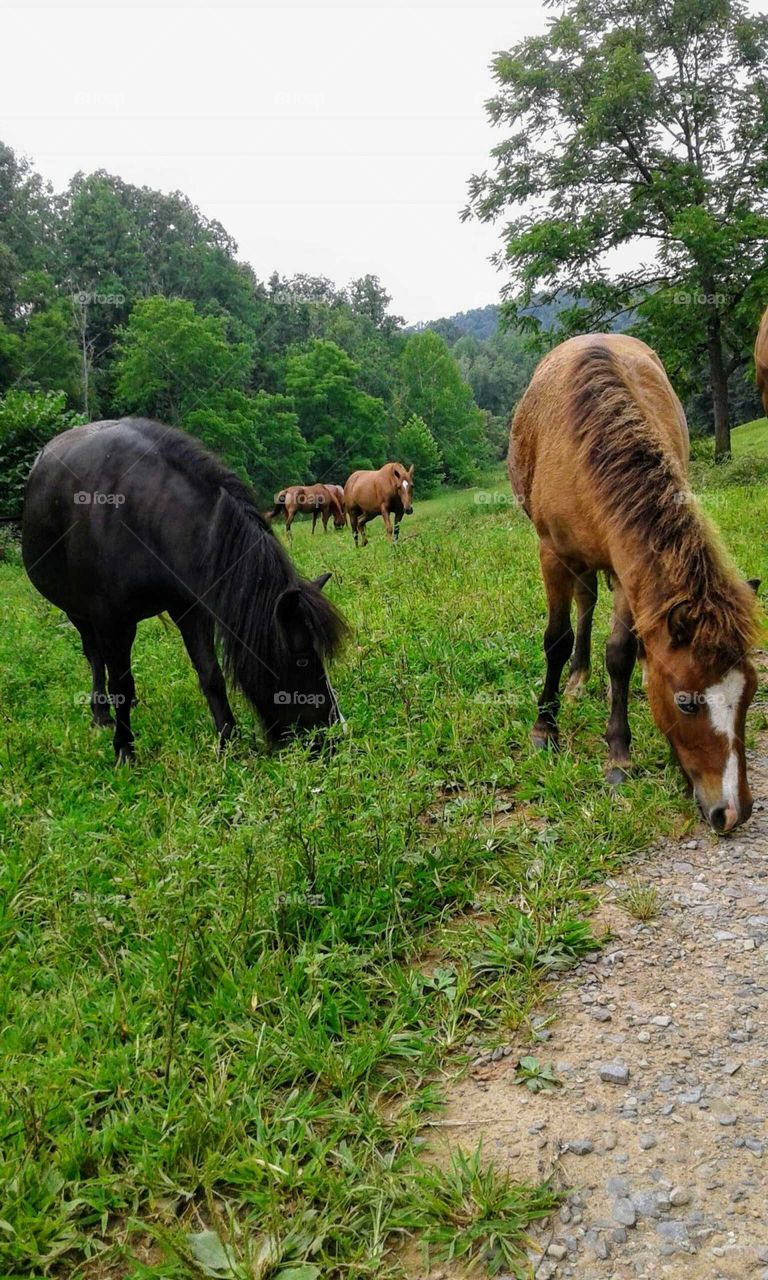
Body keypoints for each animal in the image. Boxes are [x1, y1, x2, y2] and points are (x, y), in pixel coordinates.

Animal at [23, 417, 348, 757]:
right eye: (303, 658)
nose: (333, 734)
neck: (144, 517)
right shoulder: (111, 621)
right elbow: (119, 684)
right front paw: (124, 749)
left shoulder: (189, 608)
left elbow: (210, 673)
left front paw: (228, 740)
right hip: (78, 613)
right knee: (95, 657)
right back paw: (101, 713)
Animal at [512, 330, 757, 829]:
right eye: (686, 702)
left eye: (751, 694)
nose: (733, 812)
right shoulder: (552, 555)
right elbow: (556, 639)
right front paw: (545, 728)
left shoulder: (629, 571)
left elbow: (621, 653)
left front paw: (618, 755)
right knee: (584, 604)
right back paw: (577, 679)